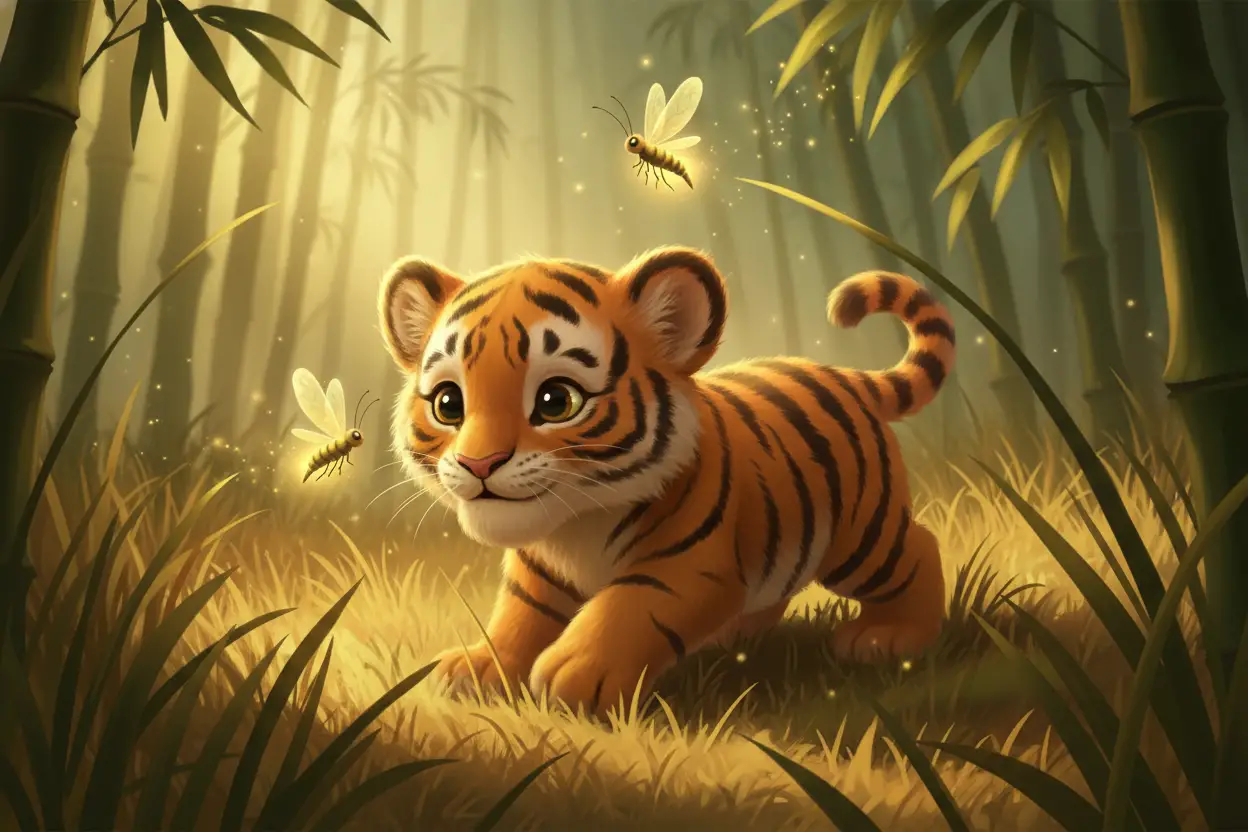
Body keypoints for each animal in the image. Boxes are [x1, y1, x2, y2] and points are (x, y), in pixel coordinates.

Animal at [378, 246, 955, 718]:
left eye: (556, 400)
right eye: (448, 403)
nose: (479, 463)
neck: (573, 526)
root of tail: (843, 374)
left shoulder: (688, 565)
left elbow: (629, 605)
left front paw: (573, 673)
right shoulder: (537, 570)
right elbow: (519, 614)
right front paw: (479, 667)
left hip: (864, 535)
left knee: (920, 550)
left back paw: (888, 636)